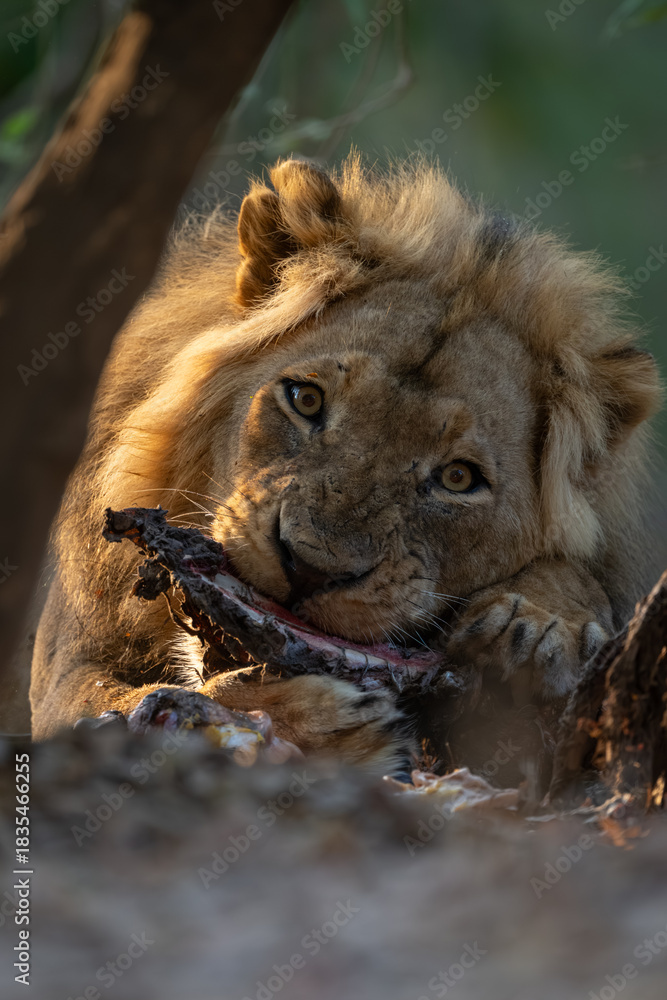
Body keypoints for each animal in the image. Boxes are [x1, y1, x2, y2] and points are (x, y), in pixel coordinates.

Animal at [30, 156, 661, 776]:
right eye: (306, 400)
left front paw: (545, 621)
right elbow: (113, 704)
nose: (309, 568)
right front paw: (316, 719)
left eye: (458, 478)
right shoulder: (61, 672)